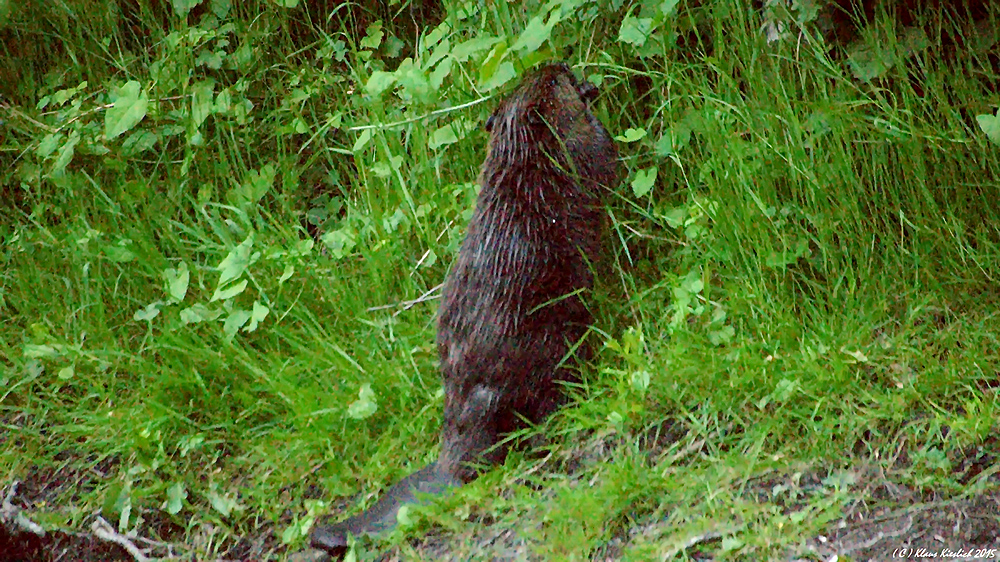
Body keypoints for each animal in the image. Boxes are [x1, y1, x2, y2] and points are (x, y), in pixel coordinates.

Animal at [312, 62, 616, 556]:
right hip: (552, 348)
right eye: (553, 83)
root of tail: (450, 466)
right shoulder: (578, 155)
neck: (520, 156)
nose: (559, 65)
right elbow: (606, 161)